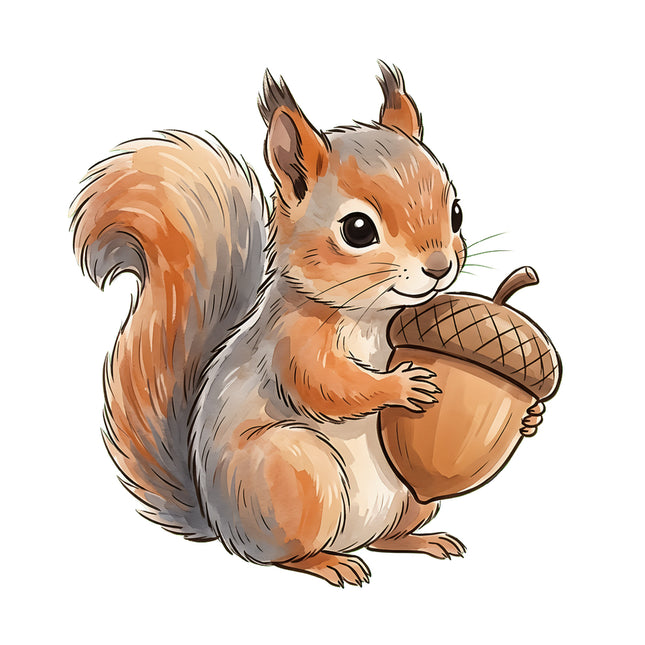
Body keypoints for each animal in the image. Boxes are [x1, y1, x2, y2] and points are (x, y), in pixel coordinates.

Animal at [71, 62, 493, 587]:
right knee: (285, 556)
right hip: (296, 473)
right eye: (358, 230)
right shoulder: (291, 344)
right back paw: (330, 563)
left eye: (457, 212)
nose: (439, 268)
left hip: (412, 497)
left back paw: (422, 540)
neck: (371, 316)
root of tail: (221, 525)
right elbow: (325, 385)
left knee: (387, 538)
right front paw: (401, 386)